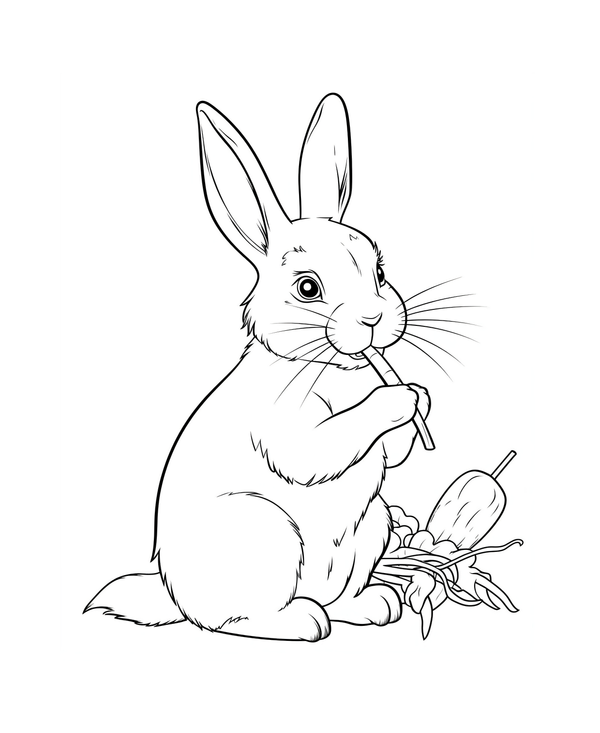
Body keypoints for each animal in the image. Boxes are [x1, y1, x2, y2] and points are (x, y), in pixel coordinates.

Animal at [84, 93, 431, 641]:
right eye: (308, 287)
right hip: (262, 531)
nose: (374, 320)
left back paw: (373, 605)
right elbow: (316, 450)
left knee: (336, 595)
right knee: (236, 620)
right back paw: (306, 621)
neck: (329, 365)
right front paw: (399, 397)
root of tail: (174, 596)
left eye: (379, 272)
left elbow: (393, 452)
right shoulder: (287, 427)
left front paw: (421, 398)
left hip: (372, 525)